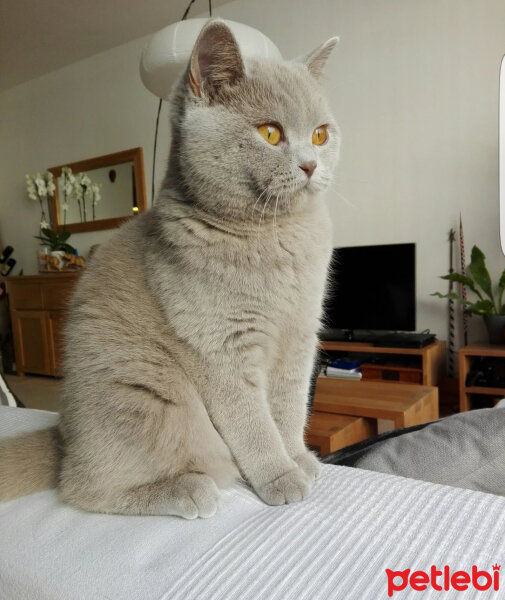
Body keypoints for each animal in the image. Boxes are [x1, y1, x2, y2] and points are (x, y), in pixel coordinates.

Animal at [0, 21, 338, 516]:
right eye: (270, 133)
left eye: (319, 135)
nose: (311, 165)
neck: (277, 236)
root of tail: (64, 435)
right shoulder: (221, 345)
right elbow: (254, 423)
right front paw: (281, 476)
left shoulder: (300, 334)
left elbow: (290, 407)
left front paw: (300, 458)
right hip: (147, 395)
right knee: (82, 486)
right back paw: (187, 489)